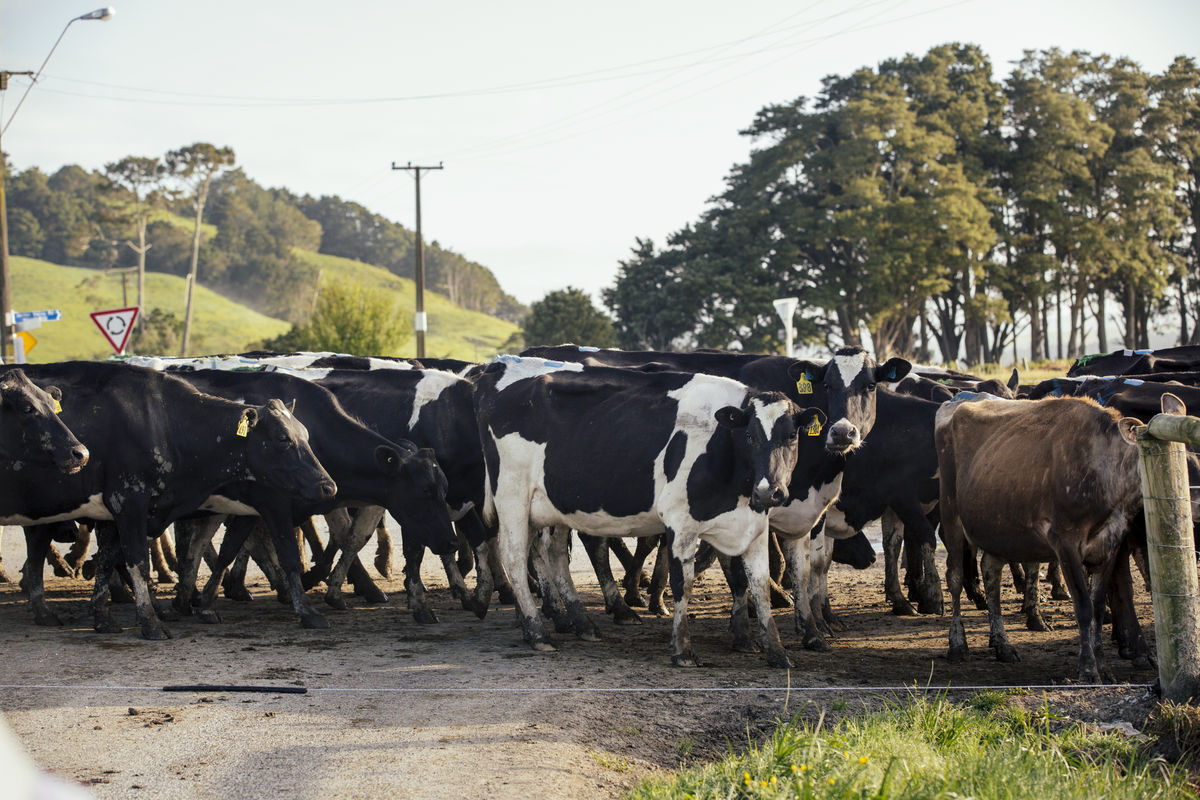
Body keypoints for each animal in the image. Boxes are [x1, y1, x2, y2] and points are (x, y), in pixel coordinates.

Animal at [0, 362, 336, 639]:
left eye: (305, 435)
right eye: (283, 439)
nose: (327, 485)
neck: (162, 423)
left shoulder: (119, 514)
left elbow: (109, 560)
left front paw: (104, 618)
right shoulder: (128, 502)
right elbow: (137, 561)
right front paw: (150, 622)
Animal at [476, 355, 825, 667]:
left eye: (791, 436)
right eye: (749, 435)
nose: (770, 492)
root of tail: (497, 365)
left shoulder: (753, 526)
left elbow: (760, 586)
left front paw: (777, 652)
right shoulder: (681, 523)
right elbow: (682, 584)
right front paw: (682, 650)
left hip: (554, 506)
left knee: (555, 554)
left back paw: (582, 624)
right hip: (513, 497)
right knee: (515, 558)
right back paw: (536, 632)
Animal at [935, 393, 1145, 681]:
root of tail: (954, 403)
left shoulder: (1110, 545)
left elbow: (1099, 608)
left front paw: (1103, 666)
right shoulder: (1065, 542)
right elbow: (1084, 606)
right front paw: (1088, 669)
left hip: (996, 527)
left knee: (991, 574)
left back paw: (1002, 645)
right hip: (951, 514)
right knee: (955, 578)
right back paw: (957, 644)